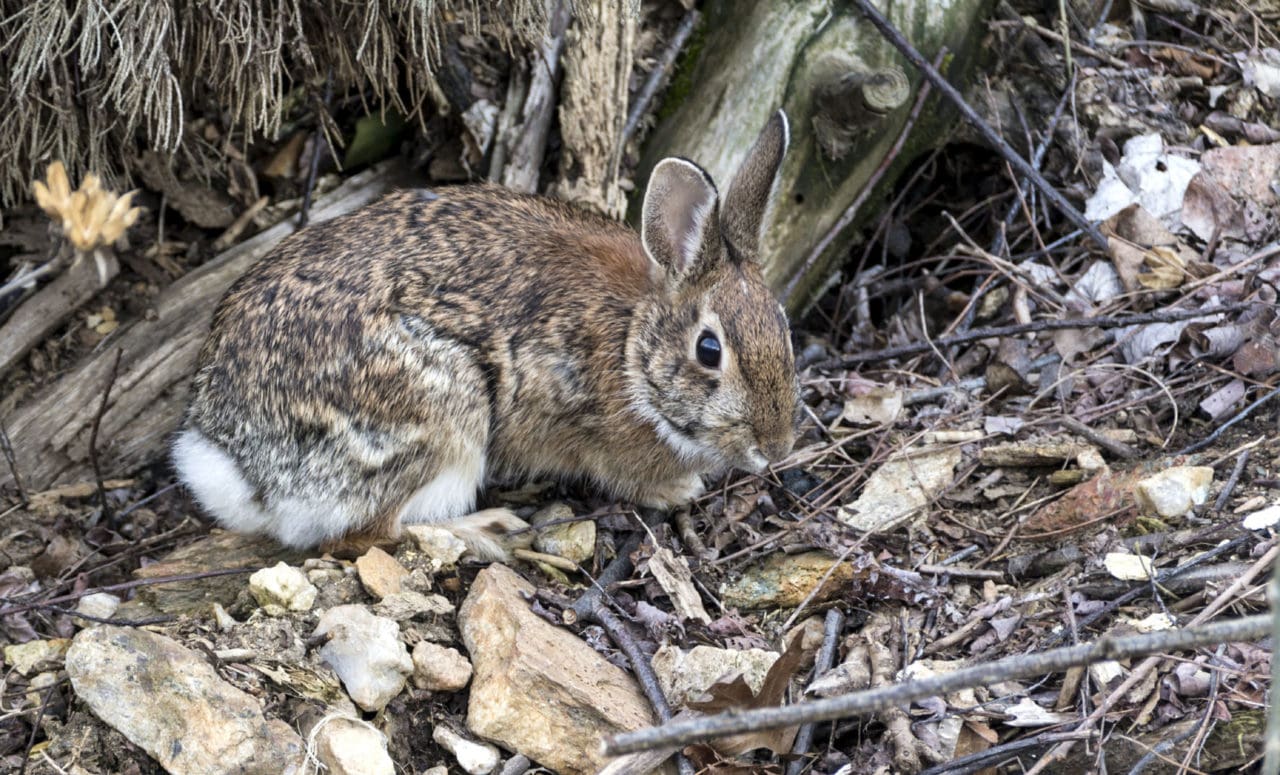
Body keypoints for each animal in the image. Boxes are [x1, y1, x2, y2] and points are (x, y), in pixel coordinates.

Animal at [171, 108, 798, 558]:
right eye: (709, 350)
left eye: (784, 325)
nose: (775, 448)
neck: (631, 344)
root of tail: (234, 460)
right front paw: (677, 490)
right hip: (440, 414)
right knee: (369, 533)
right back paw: (489, 530)